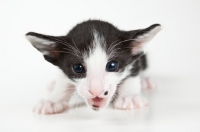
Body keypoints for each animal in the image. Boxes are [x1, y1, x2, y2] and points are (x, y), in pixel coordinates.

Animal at [25, 19, 162, 114]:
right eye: (78, 68)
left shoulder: (134, 61)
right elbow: (63, 81)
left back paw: (146, 82)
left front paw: (130, 97)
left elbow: (133, 73)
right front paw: (52, 100)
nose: (96, 91)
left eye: (112, 65)